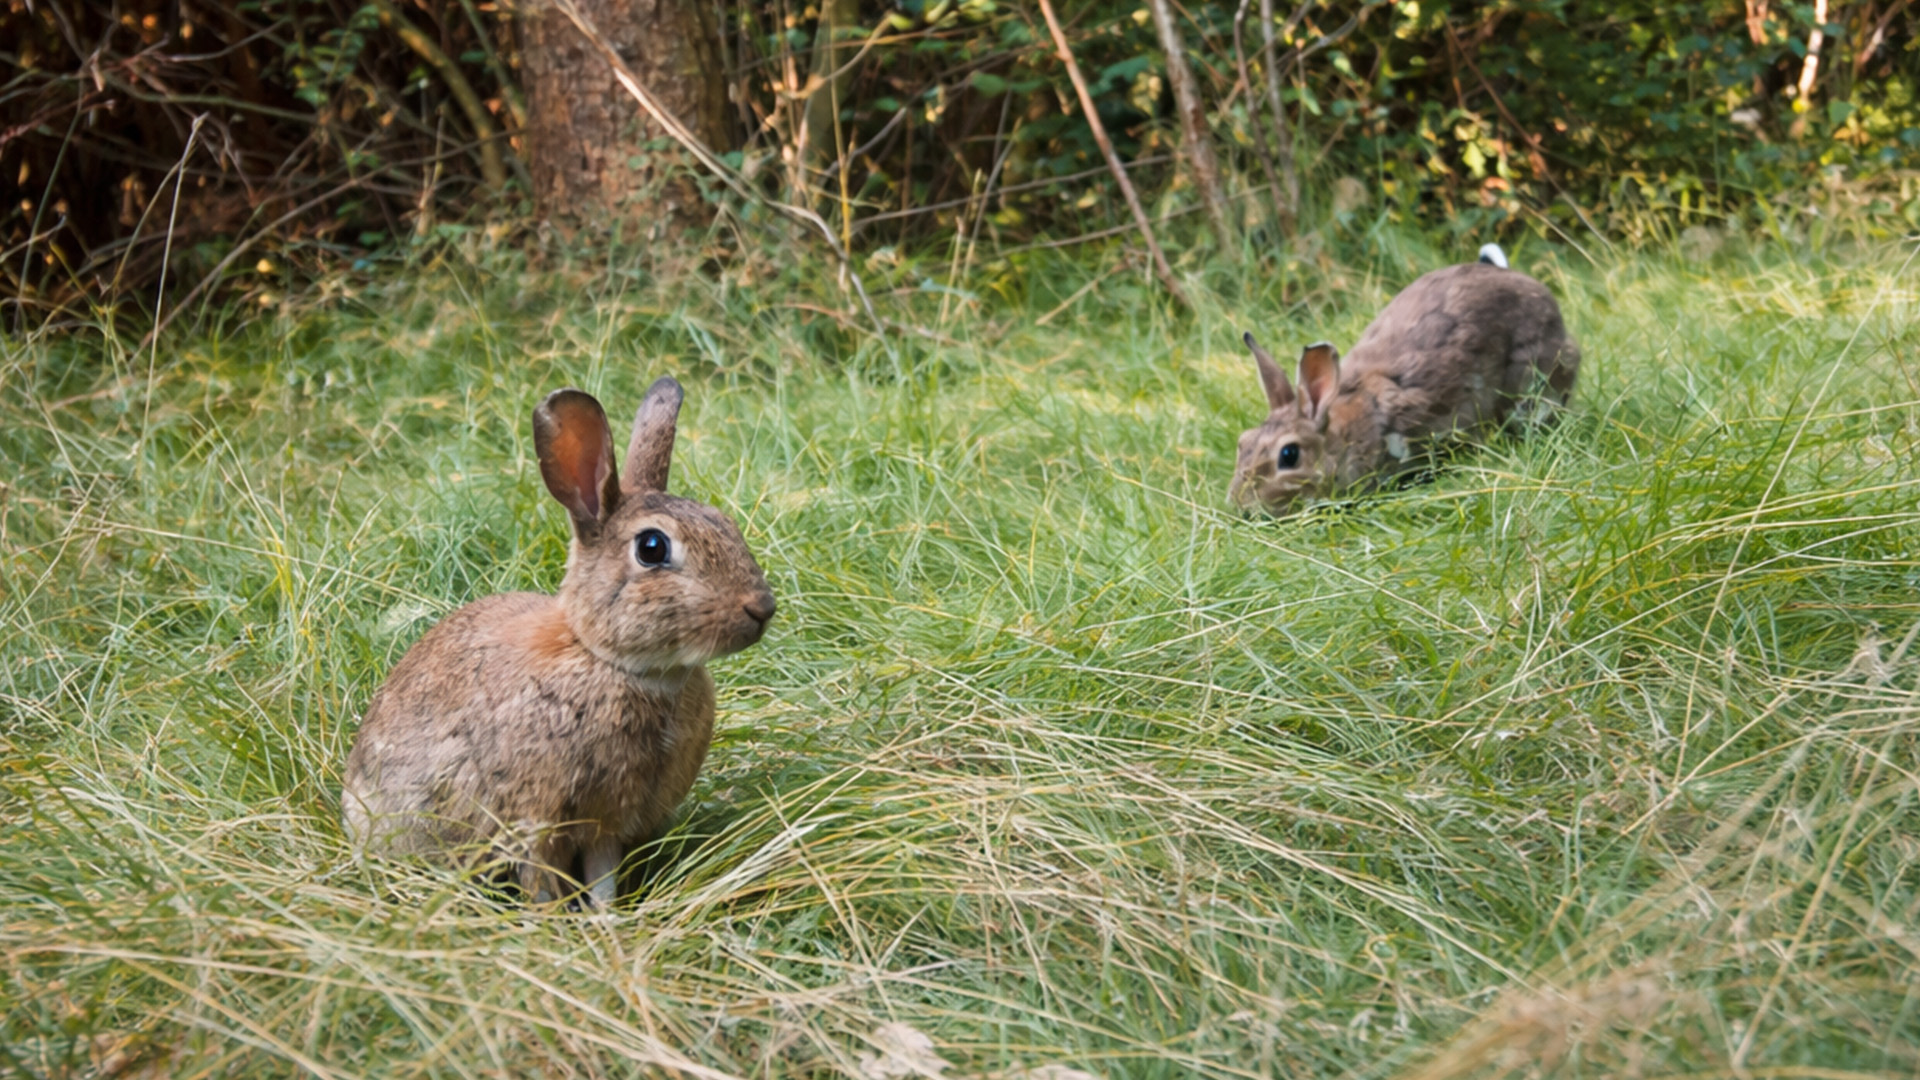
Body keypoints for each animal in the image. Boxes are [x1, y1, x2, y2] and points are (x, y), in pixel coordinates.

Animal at [342, 376, 777, 905]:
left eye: (725, 522)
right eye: (652, 548)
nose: (762, 608)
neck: (609, 661)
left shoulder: (607, 822)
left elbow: (602, 876)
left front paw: (607, 917)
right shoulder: (535, 817)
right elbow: (542, 882)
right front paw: (554, 920)